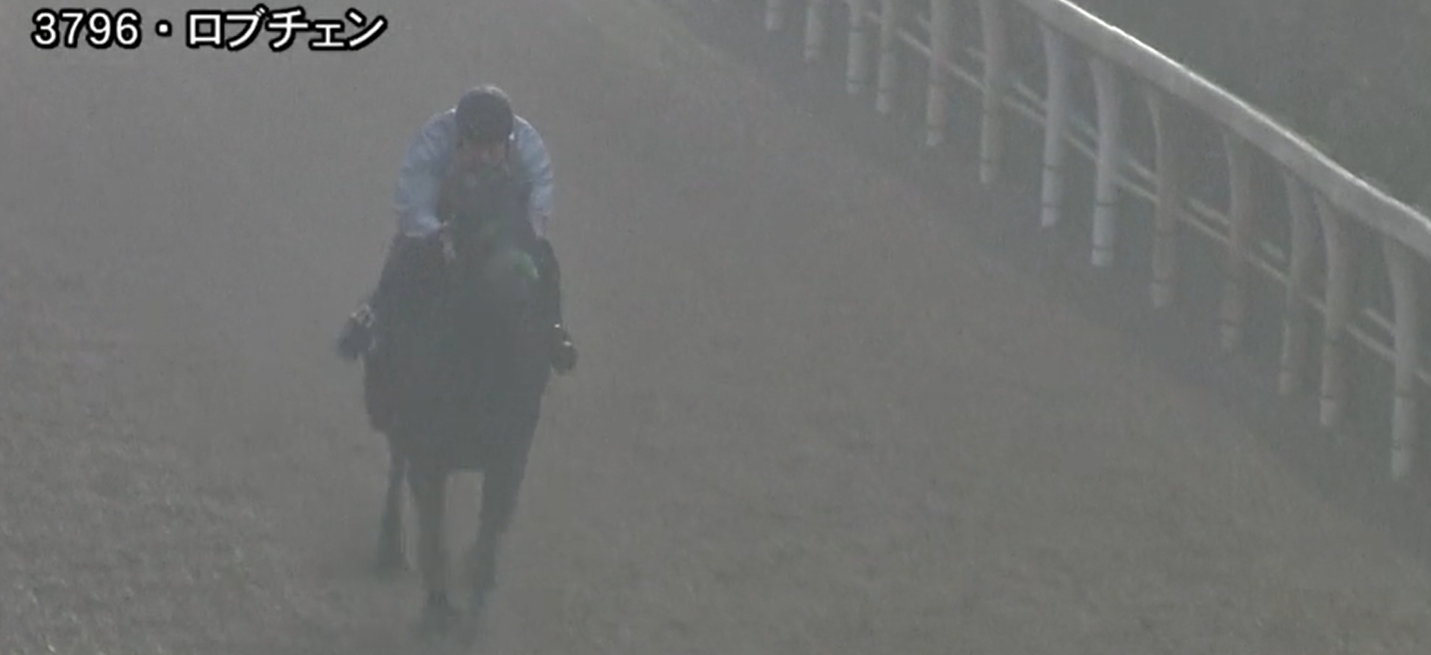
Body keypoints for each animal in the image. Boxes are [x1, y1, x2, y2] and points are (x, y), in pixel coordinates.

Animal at [360, 159, 553, 641]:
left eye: (527, 232)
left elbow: (490, 532)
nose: (519, 296)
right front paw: (436, 613)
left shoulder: (509, 453)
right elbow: (433, 534)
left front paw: (476, 612)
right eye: (475, 232)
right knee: (396, 467)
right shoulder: (429, 450)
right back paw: (389, 548)